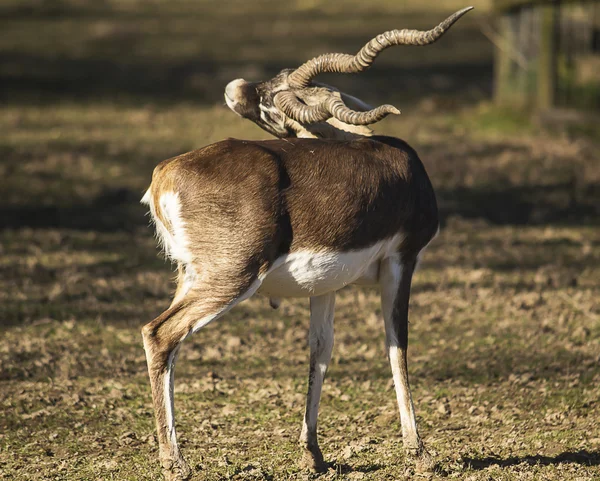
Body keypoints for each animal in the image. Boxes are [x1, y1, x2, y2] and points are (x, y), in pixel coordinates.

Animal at [141, 6, 474, 476]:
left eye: (276, 91)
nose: (236, 88)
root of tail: (164, 175)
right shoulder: (402, 259)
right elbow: (397, 345)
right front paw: (420, 451)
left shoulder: (325, 285)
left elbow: (320, 351)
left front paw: (312, 453)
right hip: (232, 277)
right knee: (159, 334)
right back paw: (175, 462)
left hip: (191, 276)